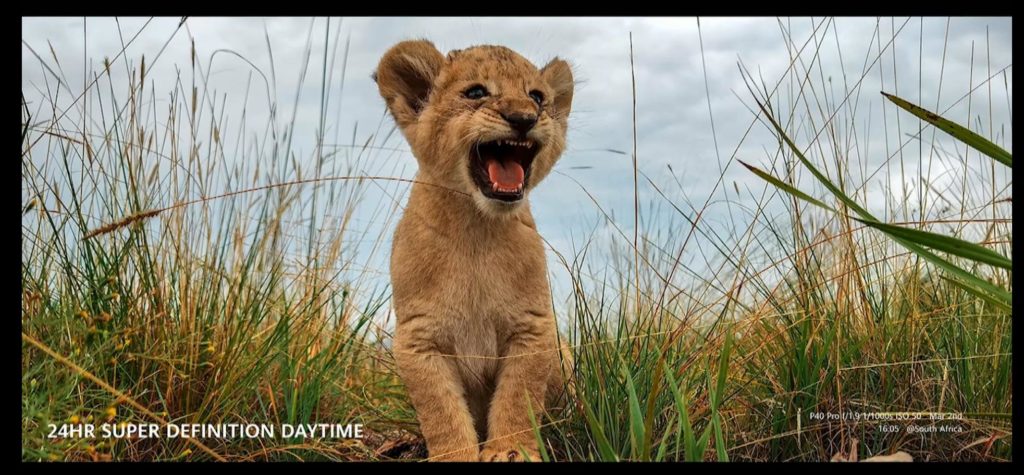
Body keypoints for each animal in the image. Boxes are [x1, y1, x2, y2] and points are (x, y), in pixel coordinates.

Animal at [374, 40, 575, 462]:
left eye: (537, 97)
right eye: (476, 92)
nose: (524, 118)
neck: (476, 230)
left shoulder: (532, 327)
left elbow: (519, 396)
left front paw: (510, 451)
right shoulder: (418, 338)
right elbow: (440, 410)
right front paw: (455, 454)